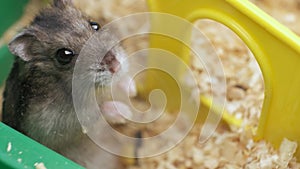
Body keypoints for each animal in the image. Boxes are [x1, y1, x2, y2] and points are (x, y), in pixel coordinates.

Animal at [1, 0, 135, 168]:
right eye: (64, 55)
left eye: (95, 25)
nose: (116, 66)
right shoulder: (51, 125)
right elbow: (97, 112)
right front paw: (126, 112)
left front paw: (132, 89)